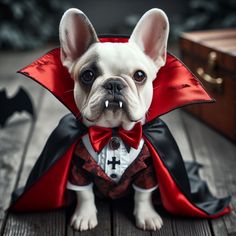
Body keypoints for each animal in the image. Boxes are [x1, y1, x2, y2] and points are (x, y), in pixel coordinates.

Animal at [59, 8, 170, 231]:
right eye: (88, 75)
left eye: (139, 75)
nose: (113, 83)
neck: (113, 132)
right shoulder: (78, 169)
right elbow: (84, 193)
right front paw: (84, 215)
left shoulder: (147, 171)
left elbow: (143, 195)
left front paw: (147, 216)